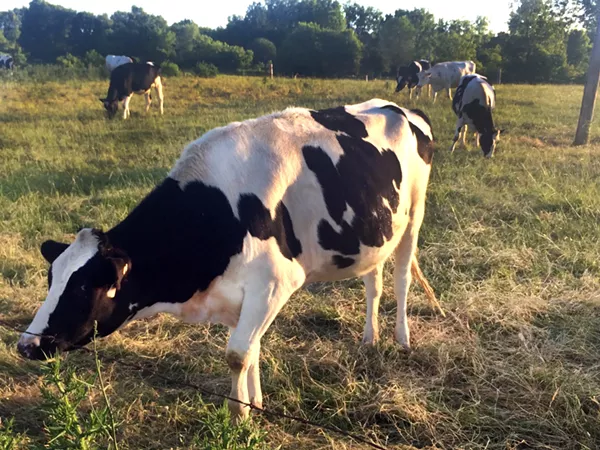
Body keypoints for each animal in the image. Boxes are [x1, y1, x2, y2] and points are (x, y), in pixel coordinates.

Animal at [17, 98, 440, 422]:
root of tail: (401, 107)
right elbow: (252, 349)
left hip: (415, 214)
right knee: (373, 282)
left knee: (401, 278)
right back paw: (369, 338)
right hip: (378, 232)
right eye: (51, 279)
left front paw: (239, 417)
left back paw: (401, 339)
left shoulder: (275, 282)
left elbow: (237, 354)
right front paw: (255, 404)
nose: (26, 345)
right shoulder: (240, 293)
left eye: (84, 286)